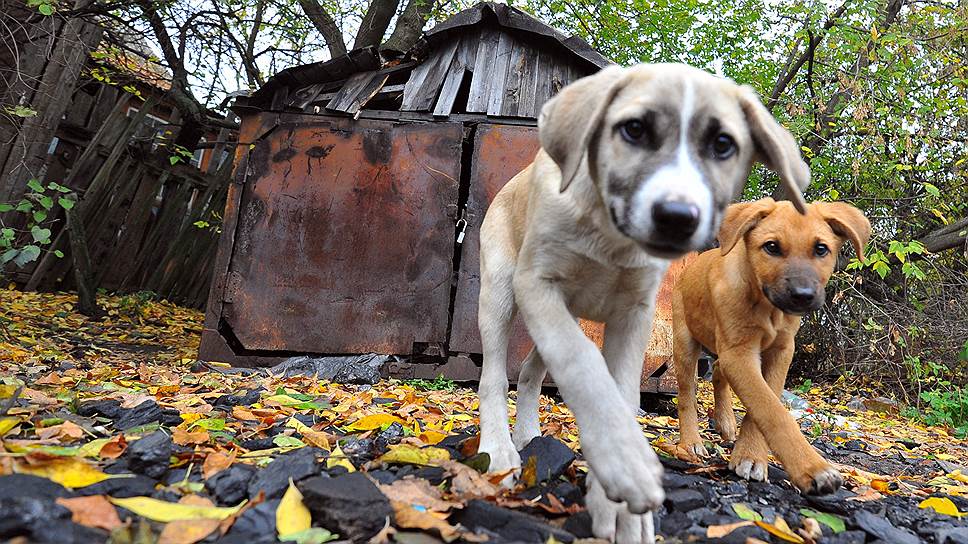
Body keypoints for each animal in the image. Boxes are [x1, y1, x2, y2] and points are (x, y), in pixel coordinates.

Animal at [672, 198, 868, 496]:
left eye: (821, 249)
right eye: (772, 247)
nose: (802, 296)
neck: (767, 308)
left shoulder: (780, 351)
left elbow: (766, 401)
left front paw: (750, 456)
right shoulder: (740, 353)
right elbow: (772, 410)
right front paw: (812, 467)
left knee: (717, 370)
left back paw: (726, 423)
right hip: (685, 341)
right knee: (687, 394)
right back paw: (691, 442)